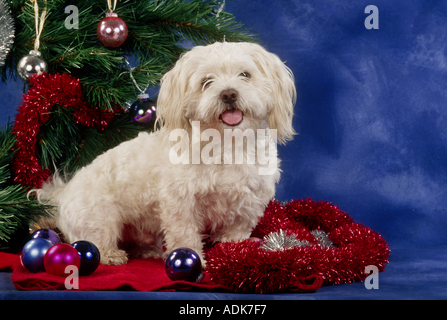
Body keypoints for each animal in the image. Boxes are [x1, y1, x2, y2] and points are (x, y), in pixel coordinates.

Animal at [32, 42, 298, 264]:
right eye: (206, 82)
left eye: (245, 75)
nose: (229, 94)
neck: (227, 143)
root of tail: (62, 195)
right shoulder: (180, 203)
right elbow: (185, 234)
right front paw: (193, 258)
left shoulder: (249, 202)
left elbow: (236, 231)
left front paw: (233, 250)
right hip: (100, 217)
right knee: (91, 242)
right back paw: (110, 254)